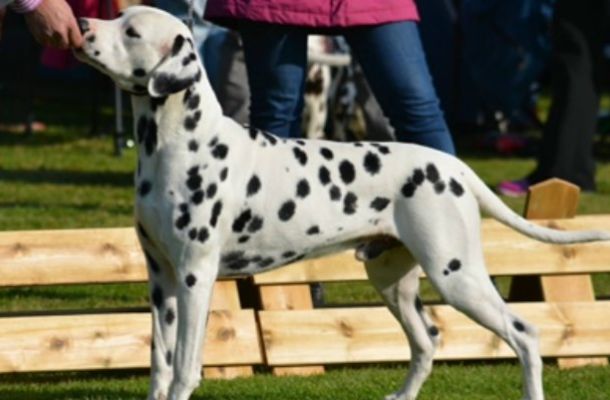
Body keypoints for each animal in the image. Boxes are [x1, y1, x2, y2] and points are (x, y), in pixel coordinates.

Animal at [74, 7, 610, 400]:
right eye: (117, 15)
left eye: (131, 30)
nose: (80, 24)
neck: (177, 143)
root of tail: (454, 167)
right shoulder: (160, 278)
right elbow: (160, 366)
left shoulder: (194, 277)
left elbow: (185, 368)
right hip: (393, 282)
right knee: (427, 341)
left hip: (456, 277)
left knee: (524, 334)